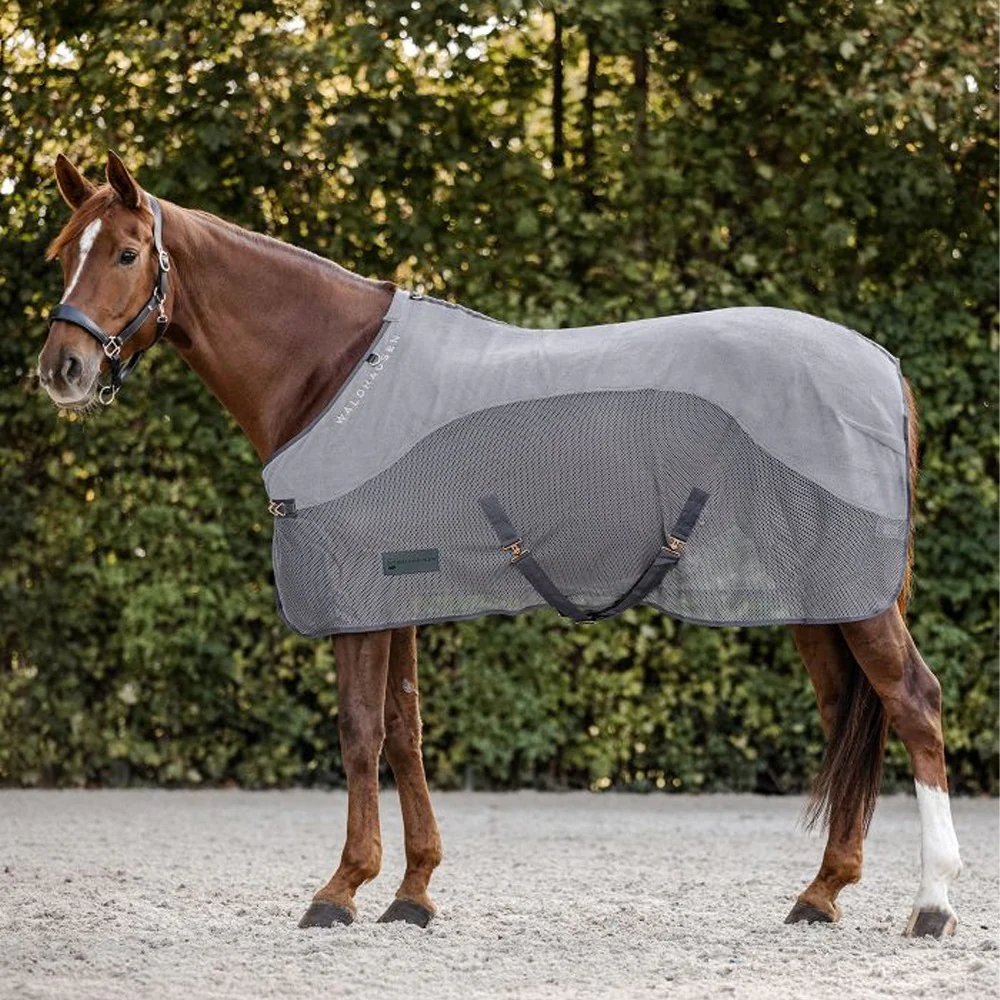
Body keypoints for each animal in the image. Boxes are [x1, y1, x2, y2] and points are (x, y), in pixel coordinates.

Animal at [37, 151, 963, 938]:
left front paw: (341, 889)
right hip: (819, 597)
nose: (62, 370)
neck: (332, 372)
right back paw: (822, 892)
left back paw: (932, 905)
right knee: (849, 714)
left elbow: (359, 731)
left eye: (126, 253)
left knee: (914, 702)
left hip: (855, 597)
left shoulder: (355, 594)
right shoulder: (395, 590)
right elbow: (404, 730)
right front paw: (412, 892)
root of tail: (883, 368)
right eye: (58, 256)